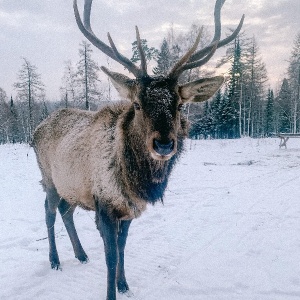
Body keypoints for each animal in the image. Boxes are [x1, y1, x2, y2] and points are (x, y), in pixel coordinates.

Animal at [32, 0, 244, 300]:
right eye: (138, 105)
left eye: (180, 105)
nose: (164, 143)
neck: (135, 181)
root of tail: (37, 128)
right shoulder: (104, 205)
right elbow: (110, 256)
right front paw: (111, 291)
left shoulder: (128, 208)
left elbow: (122, 249)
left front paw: (124, 285)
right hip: (49, 178)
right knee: (49, 211)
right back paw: (54, 260)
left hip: (71, 187)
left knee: (65, 210)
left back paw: (81, 254)